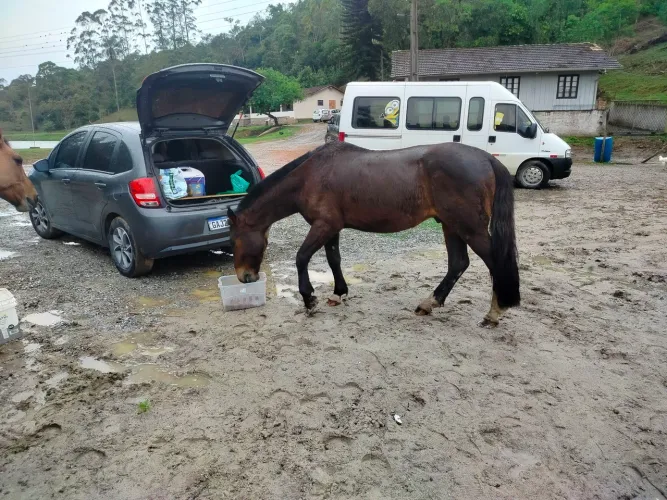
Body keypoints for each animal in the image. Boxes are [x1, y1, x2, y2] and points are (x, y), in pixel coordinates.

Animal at [228, 141, 520, 326]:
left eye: (234, 239)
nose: (244, 277)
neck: (311, 175)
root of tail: (486, 158)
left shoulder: (323, 225)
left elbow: (301, 257)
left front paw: (310, 299)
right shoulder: (331, 228)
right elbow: (334, 259)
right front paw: (338, 293)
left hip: (469, 227)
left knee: (493, 263)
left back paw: (494, 313)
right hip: (451, 225)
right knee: (458, 263)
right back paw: (430, 303)